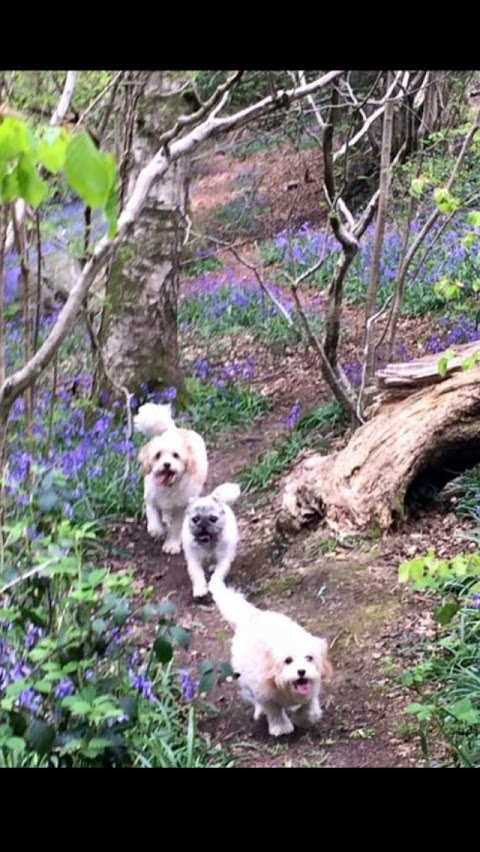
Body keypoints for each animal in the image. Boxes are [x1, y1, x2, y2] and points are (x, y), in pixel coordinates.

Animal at [134, 402, 207, 556]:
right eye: (158, 455)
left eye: (176, 455)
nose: (166, 464)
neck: (168, 487)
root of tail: (174, 430)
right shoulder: (151, 499)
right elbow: (153, 517)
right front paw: (157, 530)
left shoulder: (181, 507)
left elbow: (176, 528)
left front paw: (172, 544)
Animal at [211, 580, 334, 740]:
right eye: (288, 660)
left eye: (309, 658)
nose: (301, 671)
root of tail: (252, 616)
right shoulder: (265, 694)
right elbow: (274, 710)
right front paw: (281, 727)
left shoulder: (311, 691)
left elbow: (310, 710)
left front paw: (303, 719)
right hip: (244, 677)